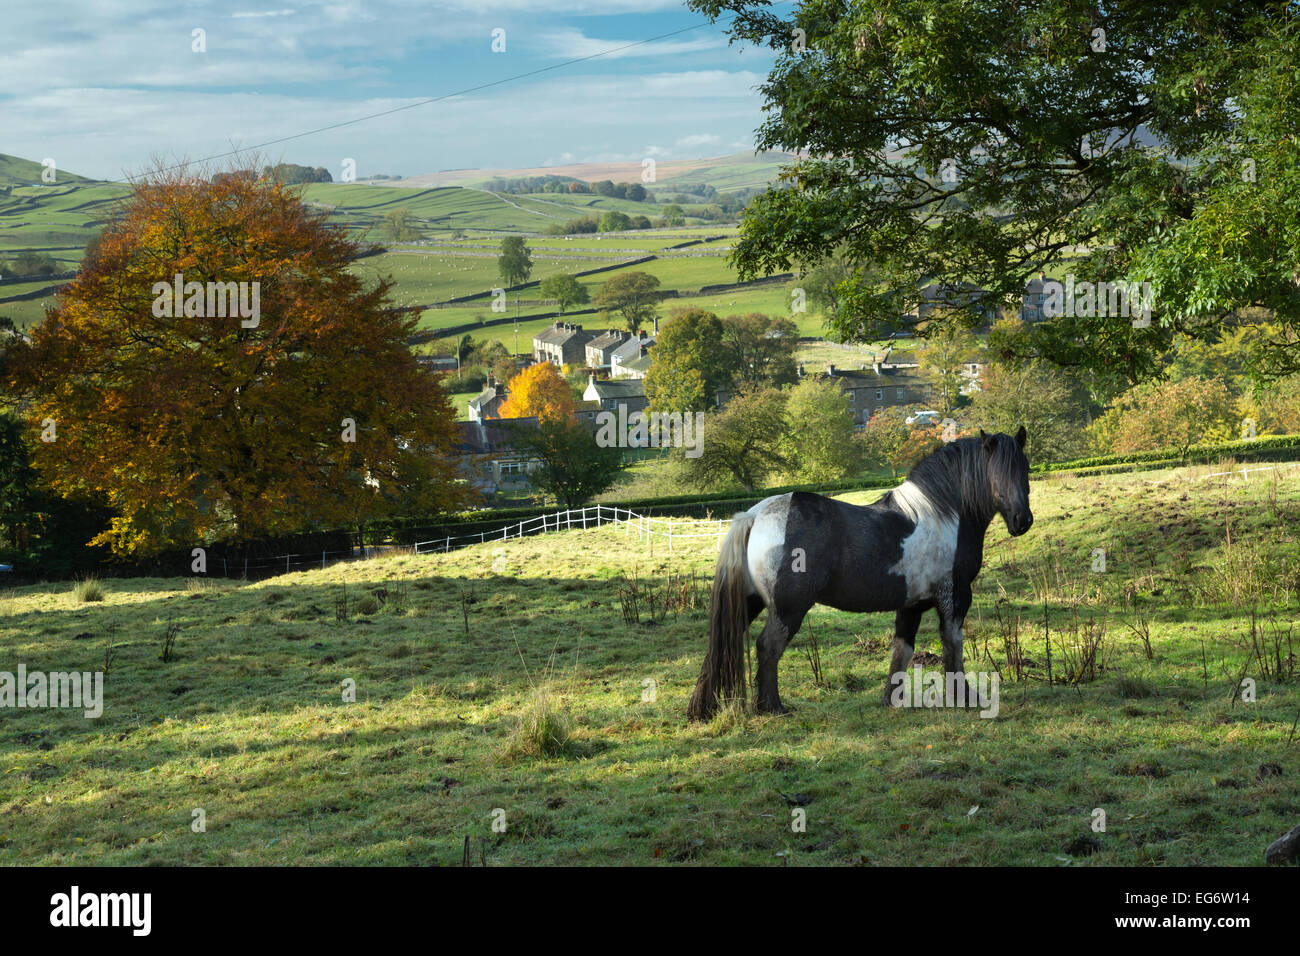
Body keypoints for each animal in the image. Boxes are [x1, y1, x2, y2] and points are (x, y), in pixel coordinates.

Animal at [686, 429, 1029, 723]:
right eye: (997, 473)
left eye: (1024, 468)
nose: (1022, 520)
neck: (944, 516)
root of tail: (754, 515)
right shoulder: (954, 599)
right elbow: (952, 646)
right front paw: (965, 698)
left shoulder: (912, 605)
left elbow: (902, 650)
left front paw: (892, 700)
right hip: (788, 609)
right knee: (768, 647)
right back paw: (772, 707)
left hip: (749, 602)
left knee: (719, 647)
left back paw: (702, 710)